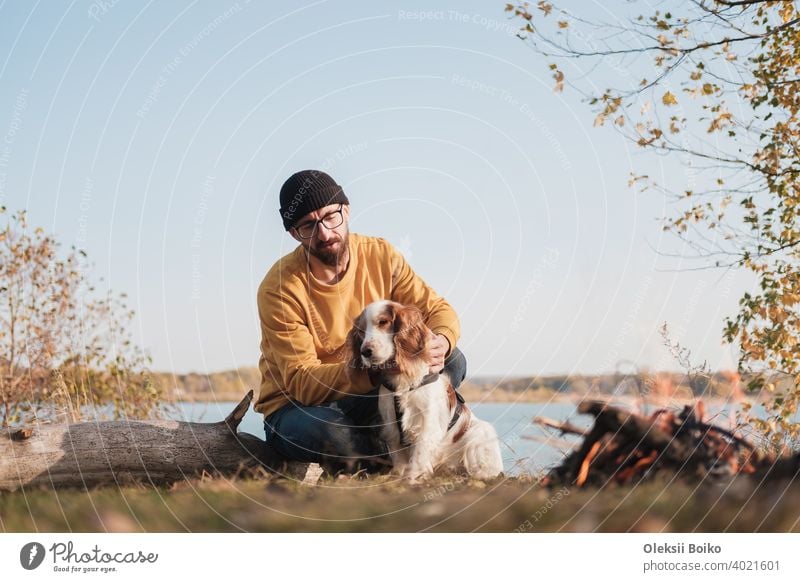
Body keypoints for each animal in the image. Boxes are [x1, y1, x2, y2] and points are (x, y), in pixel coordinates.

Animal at [346, 302, 504, 484]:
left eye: (383, 322)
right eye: (361, 330)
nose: (365, 351)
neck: (403, 378)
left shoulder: (427, 423)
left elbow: (419, 454)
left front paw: (412, 478)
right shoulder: (391, 423)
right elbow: (399, 456)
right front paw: (397, 475)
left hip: (479, 432)